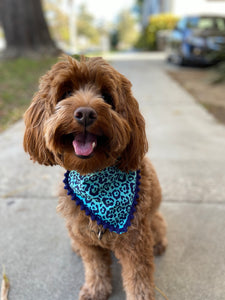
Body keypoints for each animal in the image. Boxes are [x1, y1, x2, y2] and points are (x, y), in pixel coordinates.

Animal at [23, 55, 167, 298]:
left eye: (107, 97)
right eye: (66, 93)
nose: (85, 113)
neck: (94, 177)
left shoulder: (135, 241)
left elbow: (138, 277)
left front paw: (140, 296)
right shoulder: (86, 239)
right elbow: (94, 265)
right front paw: (96, 288)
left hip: (151, 222)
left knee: (159, 225)